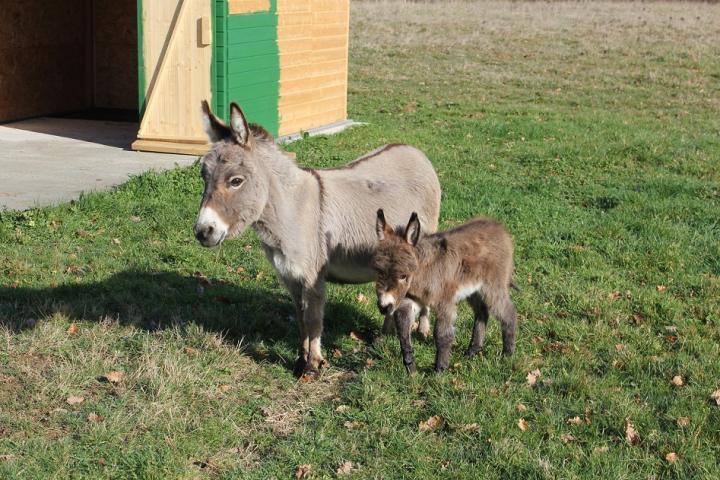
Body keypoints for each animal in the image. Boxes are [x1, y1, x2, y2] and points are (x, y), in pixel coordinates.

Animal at [372, 211, 516, 376]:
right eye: (378, 271)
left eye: (403, 276)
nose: (384, 307)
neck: (421, 275)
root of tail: (498, 226)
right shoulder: (409, 301)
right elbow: (403, 333)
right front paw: (411, 369)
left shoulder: (444, 302)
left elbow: (442, 334)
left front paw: (439, 371)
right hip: (473, 291)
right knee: (482, 313)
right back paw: (472, 352)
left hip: (492, 287)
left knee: (508, 312)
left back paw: (507, 355)